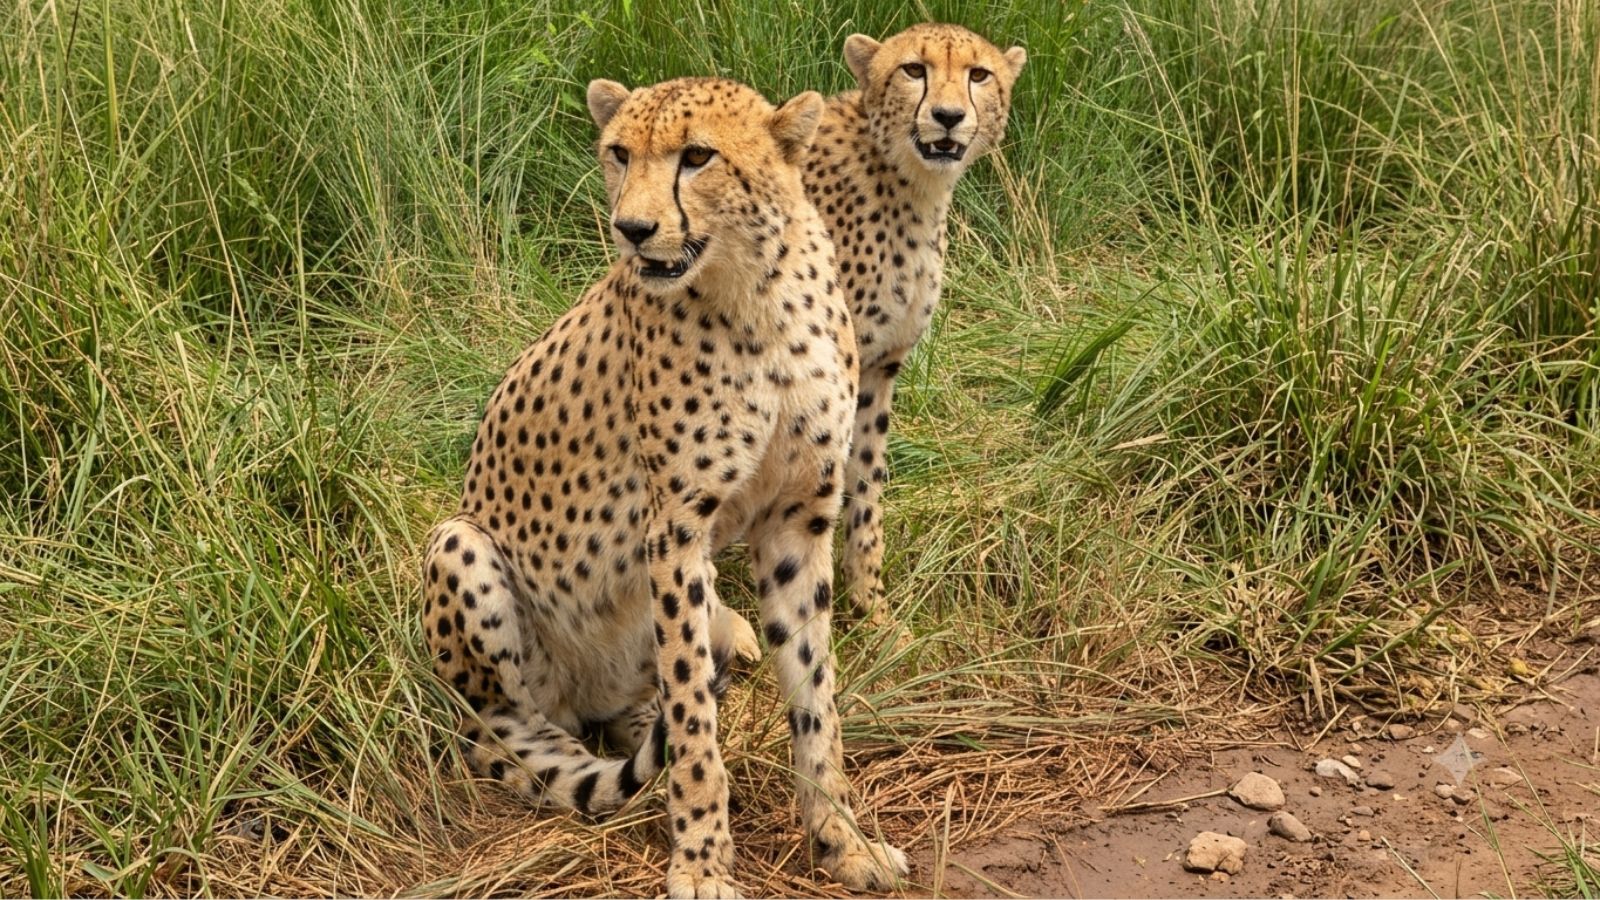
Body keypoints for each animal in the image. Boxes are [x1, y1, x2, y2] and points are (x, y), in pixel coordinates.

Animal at [420, 76, 908, 898]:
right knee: (522, 727)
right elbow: (693, 717)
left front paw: (841, 837)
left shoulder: (798, 519)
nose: (633, 228)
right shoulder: (676, 528)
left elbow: (815, 694)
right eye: (619, 152)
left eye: (698, 156)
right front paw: (703, 861)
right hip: (460, 547)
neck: (757, 296)